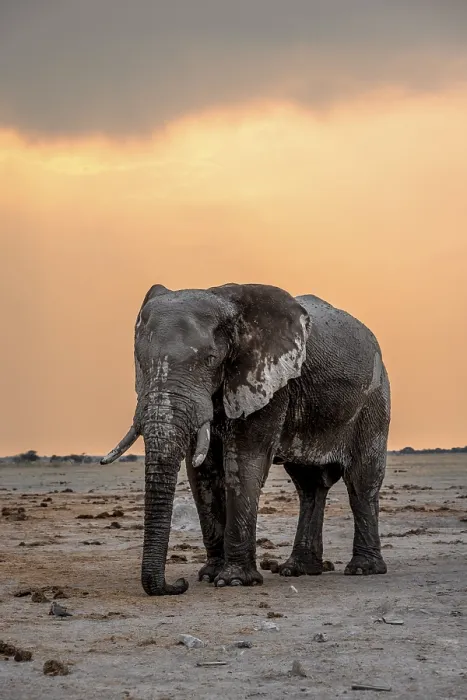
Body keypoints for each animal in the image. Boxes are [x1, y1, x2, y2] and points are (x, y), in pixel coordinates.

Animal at [101, 283, 390, 596]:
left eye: (210, 360)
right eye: (140, 362)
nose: (177, 584)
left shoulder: (270, 382)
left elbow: (244, 463)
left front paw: (233, 580)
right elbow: (202, 473)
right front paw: (209, 575)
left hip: (374, 401)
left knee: (361, 482)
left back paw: (363, 569)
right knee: (309, 486)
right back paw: (298, 569)